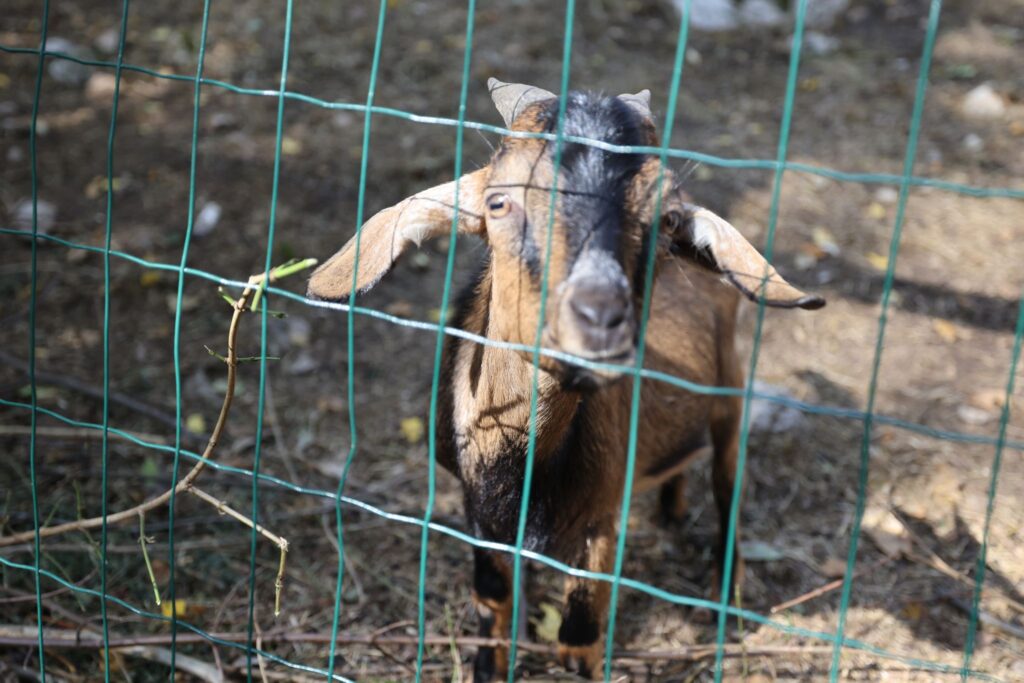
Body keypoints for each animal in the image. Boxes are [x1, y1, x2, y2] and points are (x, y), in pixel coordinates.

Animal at [305, 78, 823, 679]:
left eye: (667, 219)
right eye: (498, 201)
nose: (600, 317)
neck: (520, 464)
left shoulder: (603, 512)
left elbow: (579, 636)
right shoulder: (474, 506)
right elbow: (492, 598)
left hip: (730, 401)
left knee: (727, 483)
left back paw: (726, 589)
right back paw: (671, 509)